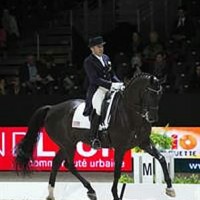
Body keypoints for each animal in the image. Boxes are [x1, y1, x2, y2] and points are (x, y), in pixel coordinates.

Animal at [14, 73, 176, 200]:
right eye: (150, 93)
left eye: (160, 94)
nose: (152, 118)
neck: (130, 114)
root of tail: (52, 108)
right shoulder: (120, 147)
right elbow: (117, 172)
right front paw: (115, 195)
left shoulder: (144, 142)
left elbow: (161, 158)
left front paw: (170, 188)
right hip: (68, 144)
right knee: (69, 164)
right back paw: (90, 190)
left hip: (67, 144)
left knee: (56, 162)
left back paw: (52, 194)